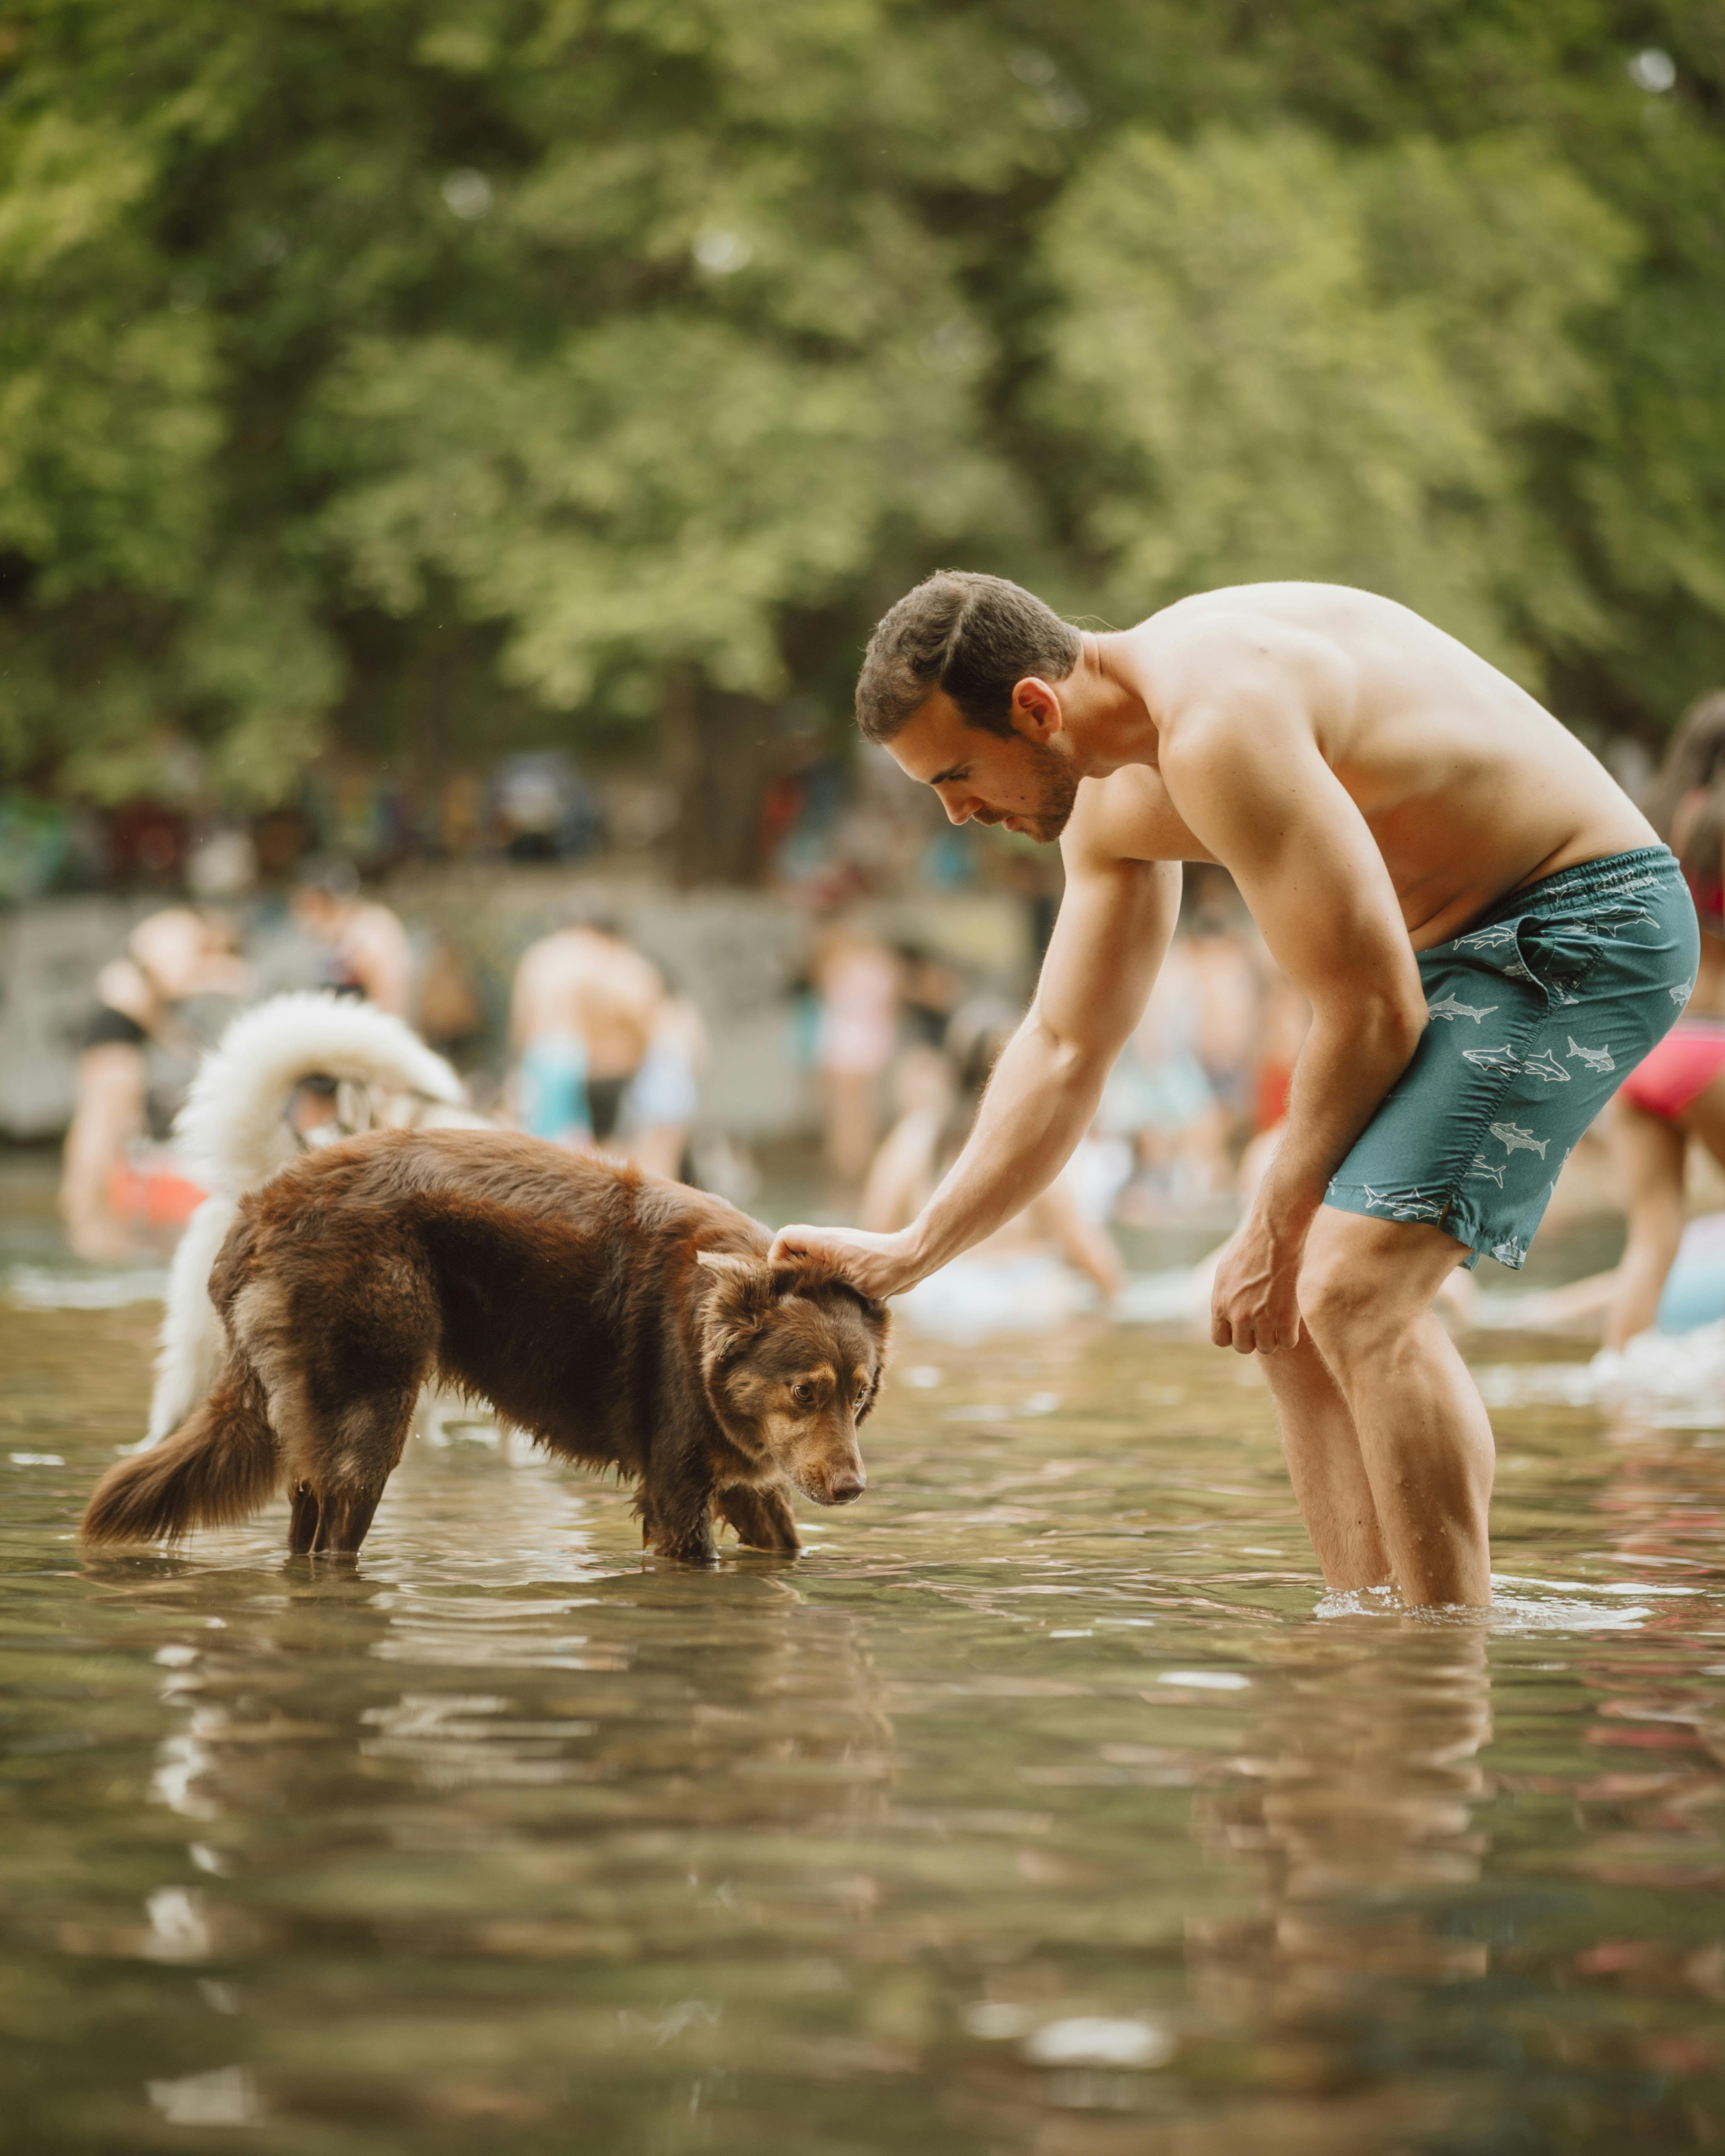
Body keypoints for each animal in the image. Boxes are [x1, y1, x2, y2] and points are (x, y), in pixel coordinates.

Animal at [81, 1129, 888, 1569]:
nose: (854, 1489)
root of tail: (258, 1212)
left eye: (859, 1395)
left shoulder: (742, 1483)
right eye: (805, 1391)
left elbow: (785, 1542)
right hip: (370, 1421)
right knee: (335, 1542)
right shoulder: (675, 1491)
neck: (702, 1329)